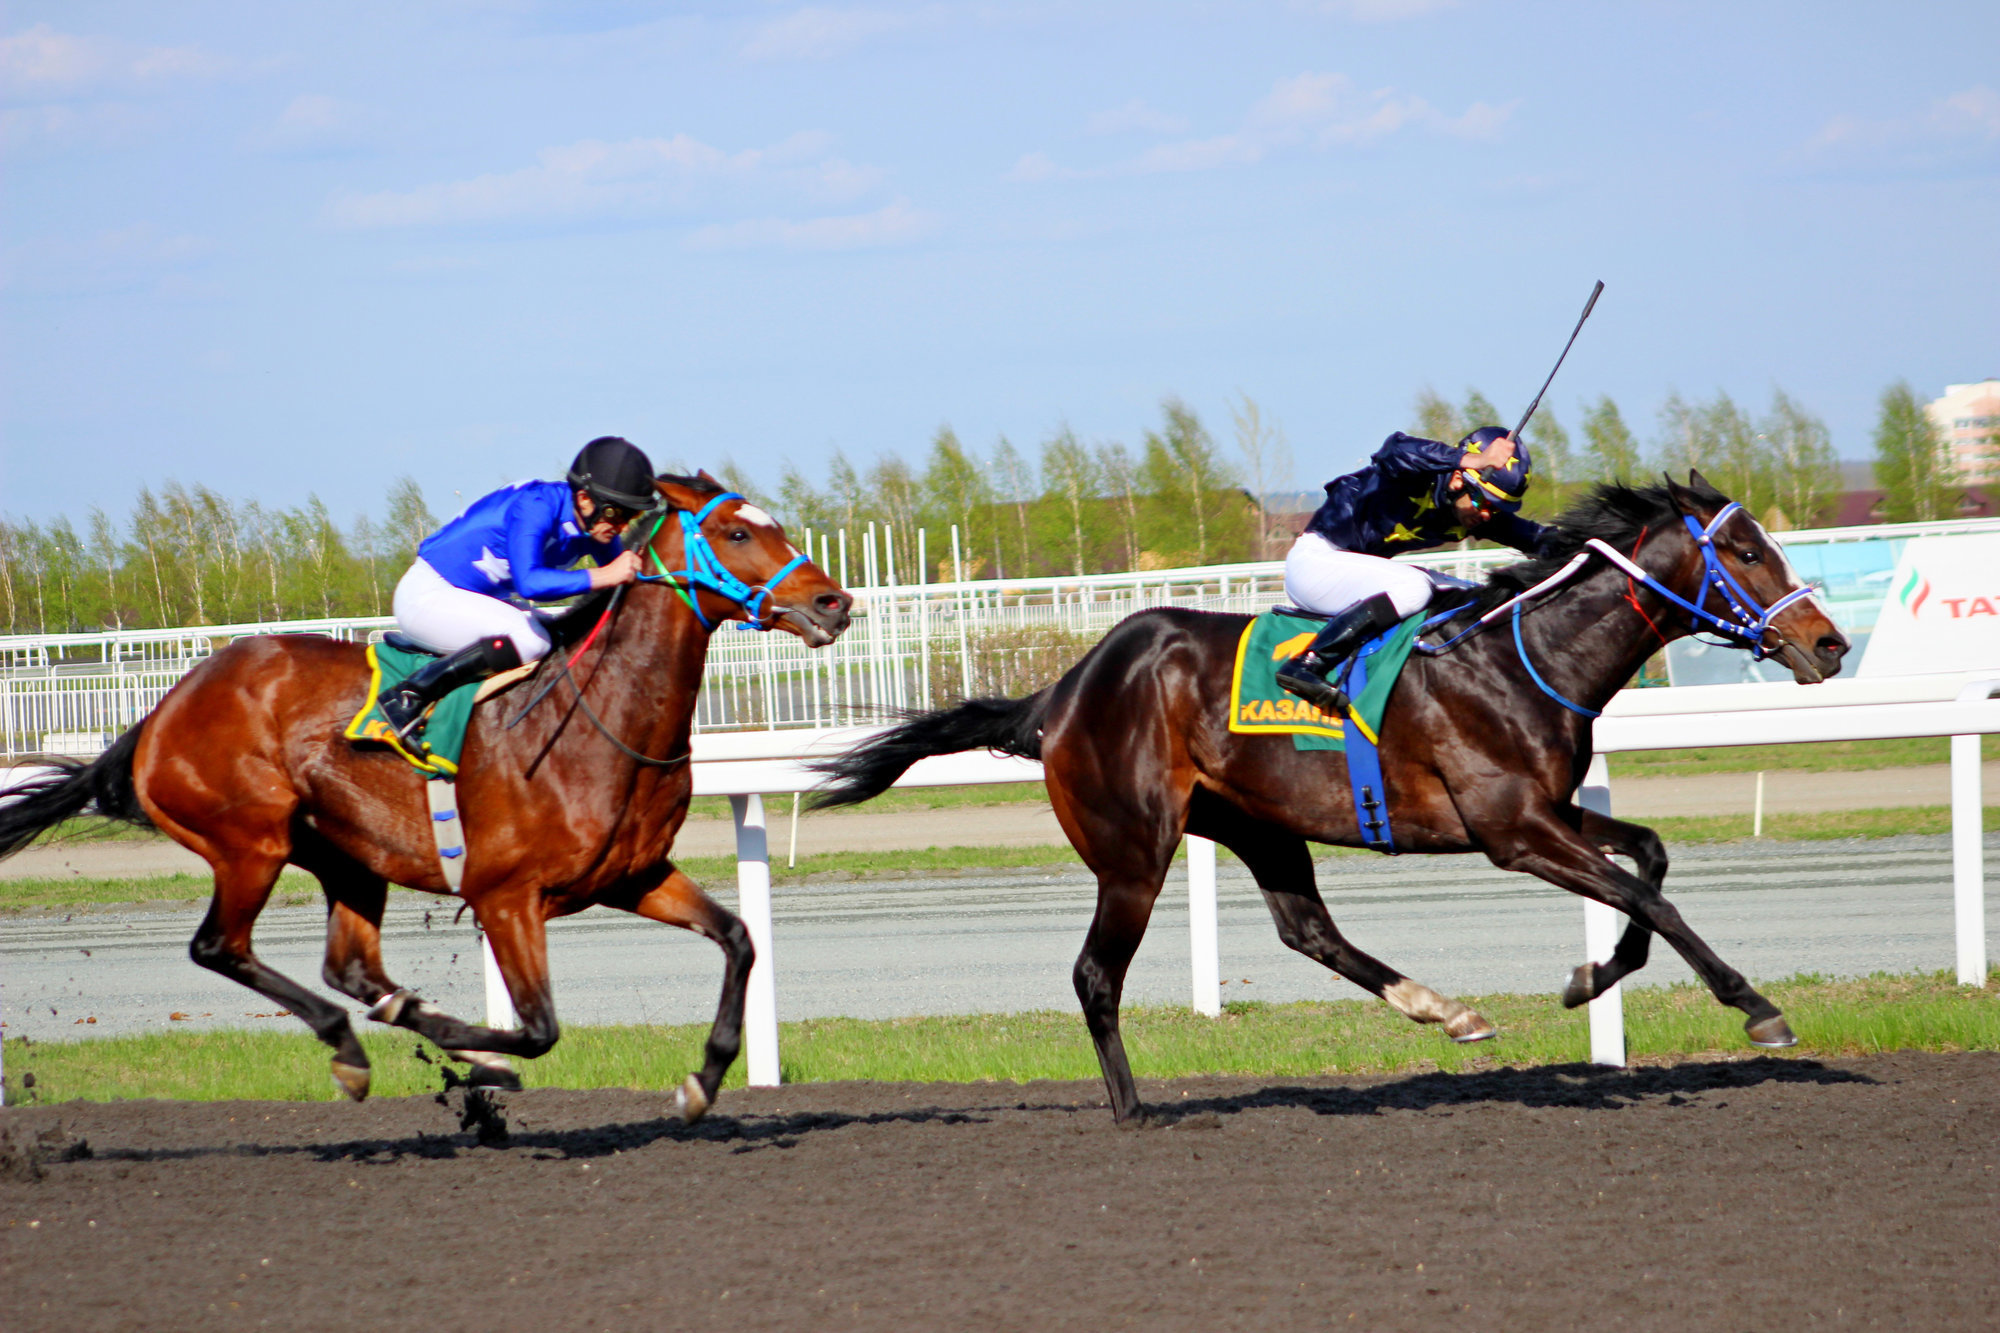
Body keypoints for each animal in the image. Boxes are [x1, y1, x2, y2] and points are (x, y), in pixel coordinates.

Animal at [0, 472, 852, 1112]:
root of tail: (167, 706)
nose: (833, 603)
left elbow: (739, 938)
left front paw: (701, 1081)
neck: (602, 716)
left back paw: (380, 1020)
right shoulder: (506, 895)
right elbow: (537, 1029)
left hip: (347, 855)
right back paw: (358, 1040)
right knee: (221, 946)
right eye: (738, 534)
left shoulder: (632, 874)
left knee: (347, 966)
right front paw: (481, 1059)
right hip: (249, 841)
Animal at [808, 472, 1840, 1112]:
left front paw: (1591, 977)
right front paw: (1755, 1005)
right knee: (1096, 974)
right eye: (1746, 551)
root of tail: (1059, 694)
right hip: (1134, 851)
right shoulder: (1513, 829)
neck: (1522, 656)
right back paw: (1133, 1109)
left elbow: (1651, 861)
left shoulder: (1545, 809)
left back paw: (1444, 1009)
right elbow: (1644, 893)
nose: (1829, 644)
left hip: (1259, 823)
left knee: (1307, 929)